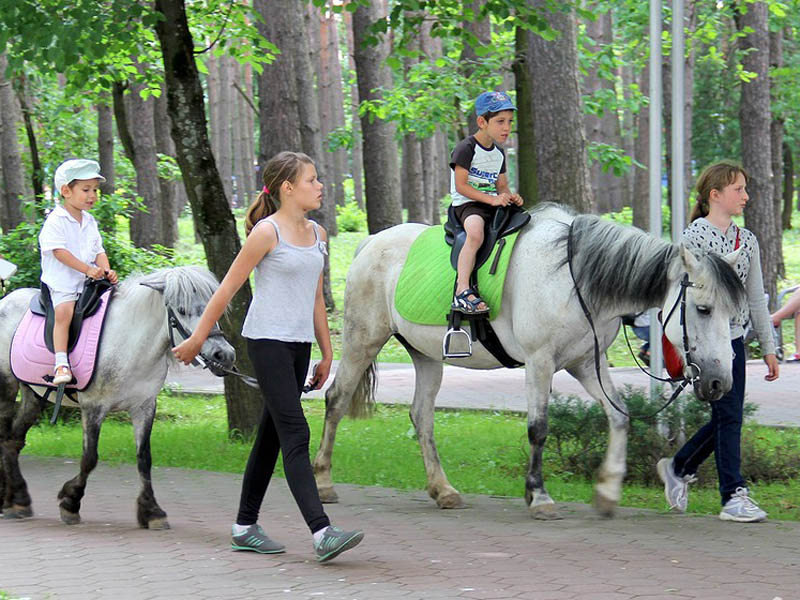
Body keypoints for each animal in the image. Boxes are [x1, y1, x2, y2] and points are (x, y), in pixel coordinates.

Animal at [0, 266, 236, 524]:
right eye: (182, 310)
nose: (224, 355)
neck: (130, 344)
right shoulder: (93, 407)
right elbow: (89, 458)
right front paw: (70, 502)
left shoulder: (144, 407)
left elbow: (144, 458)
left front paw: (151, 510)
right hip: (6, 387)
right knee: (4, 437)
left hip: (33, 395)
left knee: (13, 440)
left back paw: (17, 500)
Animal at [312, 204, 744, 516]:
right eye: (703, 309)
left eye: (733, 313)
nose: (720, 382)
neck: (572, 277)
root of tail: (370, 243)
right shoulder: (540, 362)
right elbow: (539, 428)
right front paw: (539, 496)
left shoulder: (586, 364)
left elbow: (619, 416)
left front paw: (607, 489)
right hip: (363, 339)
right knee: (336, 399)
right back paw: (324, 481)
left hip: (426, 354)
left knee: (421, 416)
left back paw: (443, 489)